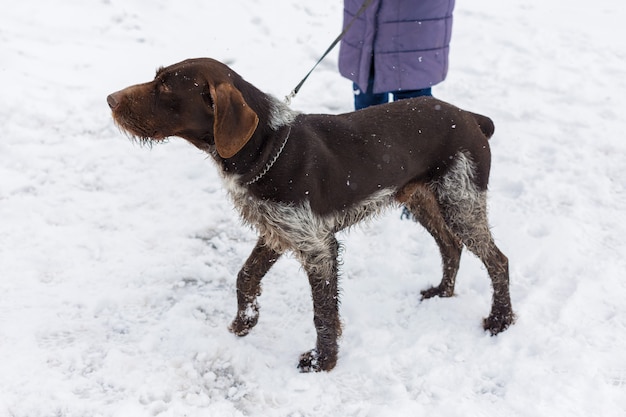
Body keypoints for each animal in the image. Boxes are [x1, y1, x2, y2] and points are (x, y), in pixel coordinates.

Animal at [107, 57, 512, 370]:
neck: (266, 148)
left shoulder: (318, 247)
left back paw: (500, 321)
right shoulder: (278, 230)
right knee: (450, 245)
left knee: (497, 261)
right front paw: (244, 324)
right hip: (423, 199)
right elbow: (245, 278)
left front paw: (323, 362)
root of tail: (471, 118)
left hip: (461, 203)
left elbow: (323, 313)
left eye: (165, 87)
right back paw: (442, 293)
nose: (109, 99)